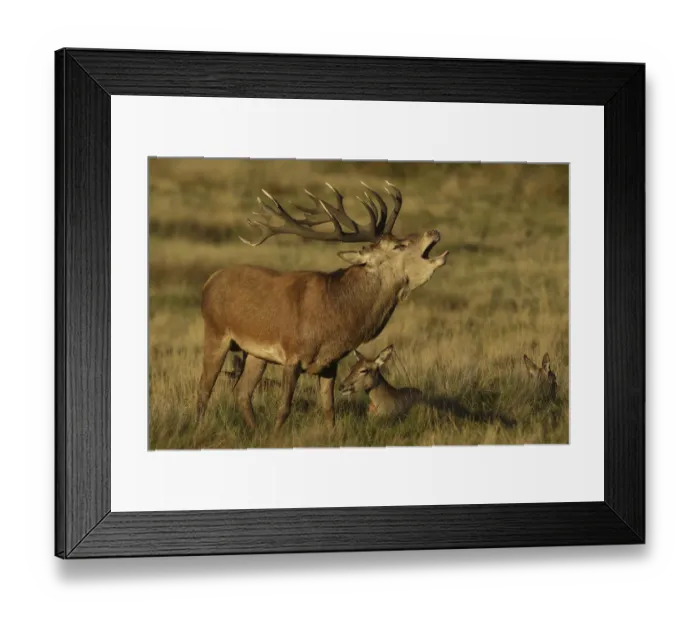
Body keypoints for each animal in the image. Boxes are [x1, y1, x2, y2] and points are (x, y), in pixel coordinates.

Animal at [196, 181, 448, 430]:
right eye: (399, 245)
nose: (433, 232)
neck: (336, 320)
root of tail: (209, 281)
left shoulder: (330, 364)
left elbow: (329, 410)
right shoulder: (292, 355)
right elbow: (284, 408)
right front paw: (276, 435)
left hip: (256, 353)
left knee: (242, 392)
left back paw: (255, 431)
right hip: (216, 332)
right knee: (204, 389)